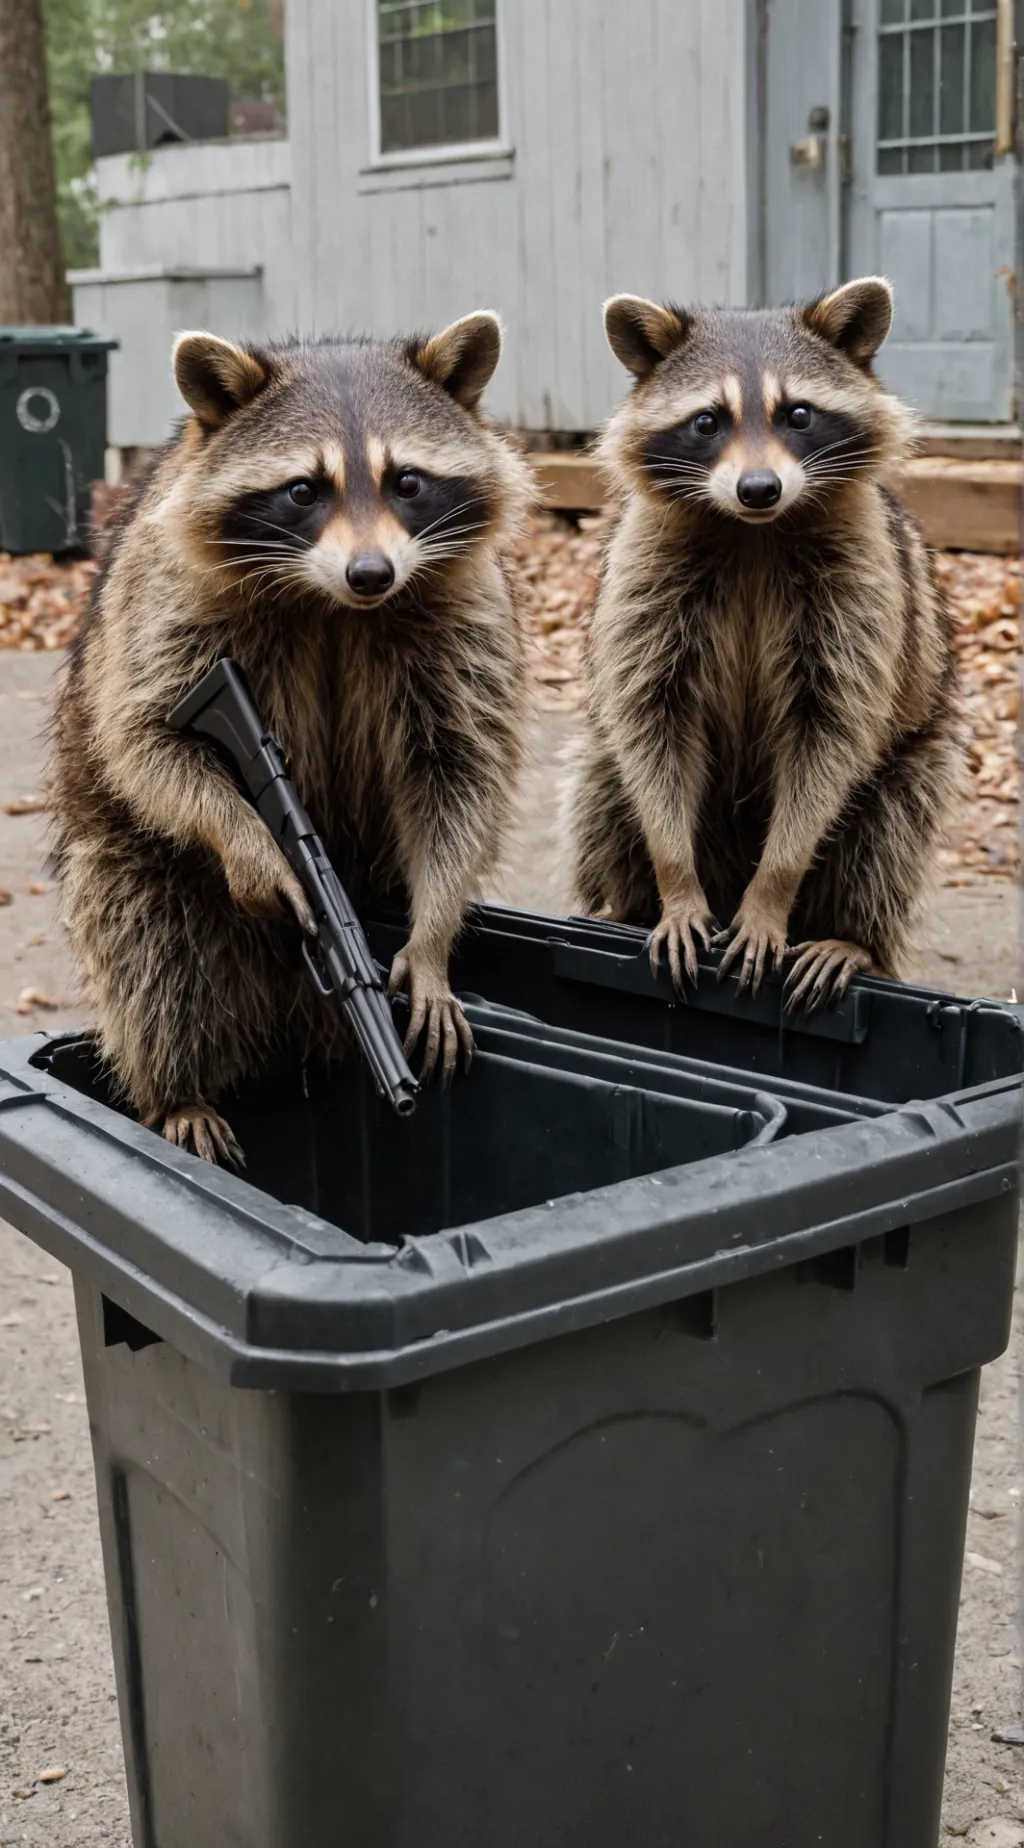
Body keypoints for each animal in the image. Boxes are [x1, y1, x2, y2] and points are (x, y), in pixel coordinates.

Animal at [52, 315, 530, 1163]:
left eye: (407, 481)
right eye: (304, 489)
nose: (371, 573)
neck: (334, 603)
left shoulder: (464, 613)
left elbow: (459, 769)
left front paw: (432, 942)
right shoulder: (166, 598)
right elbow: (144, 738)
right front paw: (249, 842)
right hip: (130, 866)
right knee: (148, 949)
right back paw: (179, 1091)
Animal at [570, 277, 959, 1009]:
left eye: (798, 414)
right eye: (707, 421)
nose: (758, 489)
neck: (753, 532)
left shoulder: (864, 588)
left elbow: (830, 738)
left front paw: (772, 890)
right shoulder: (645, 581)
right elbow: (650, 719)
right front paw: (674, 882)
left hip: (920, 757)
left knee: (888, 829)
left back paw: (852, 935)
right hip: (613, 768)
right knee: (605, 780)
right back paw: (623, 905)